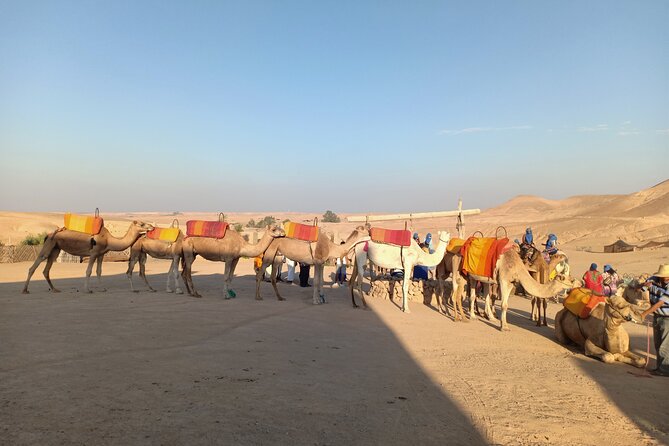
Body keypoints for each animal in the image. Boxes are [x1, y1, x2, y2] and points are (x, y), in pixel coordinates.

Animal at [22, 220, 153, 296]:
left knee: (46, 269)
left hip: (56, 248)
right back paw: (25, 290)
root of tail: (47, 235)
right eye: (142, 224)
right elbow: (88, 271)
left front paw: (103, 288)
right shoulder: (94, 253)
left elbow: (99, 271)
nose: (151, 227)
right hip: (49, 244)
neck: (108, 240)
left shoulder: (101, 254)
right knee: (35, 265)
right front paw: (88, 290)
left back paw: (55, 289)